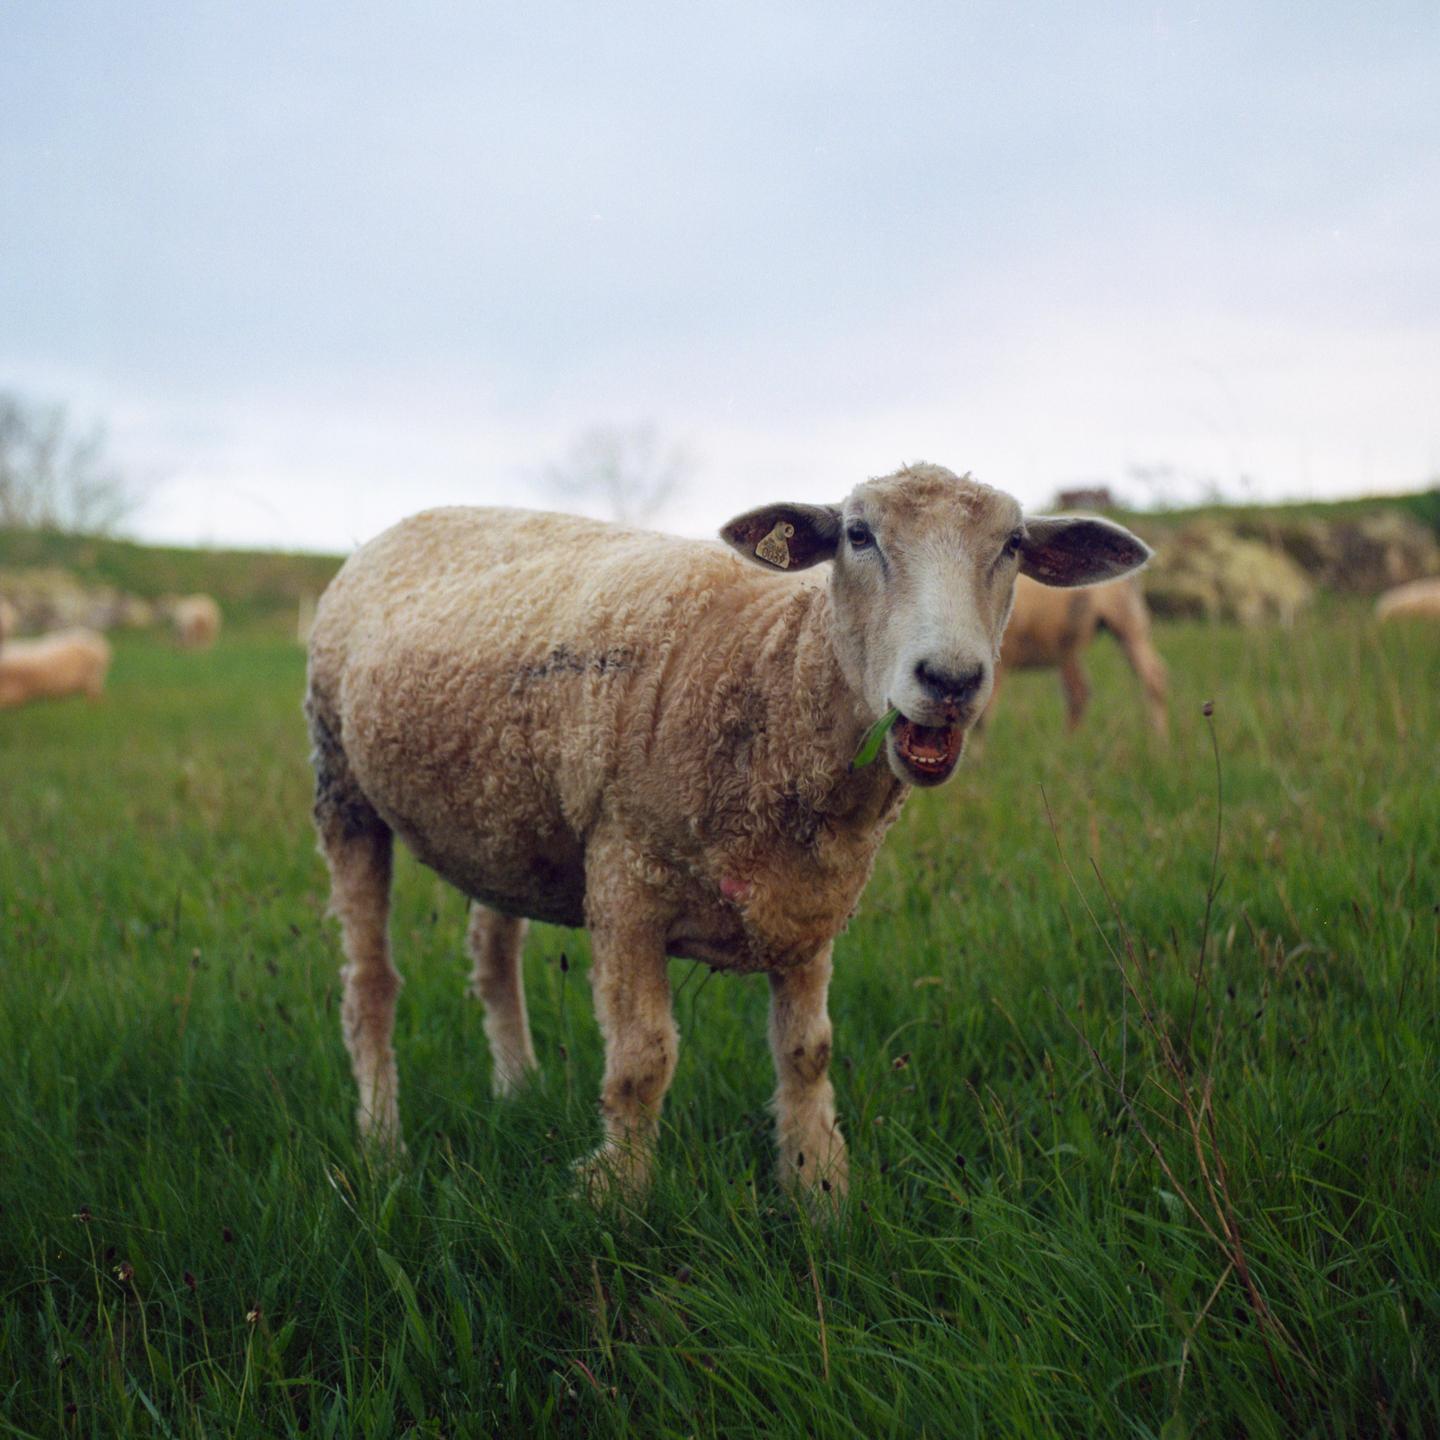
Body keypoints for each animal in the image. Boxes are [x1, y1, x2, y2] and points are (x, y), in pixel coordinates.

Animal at [988, 573, 1168, 735]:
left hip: (1127, 623)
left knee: (1154, 678)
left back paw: (1158, 742)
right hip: (1067, 644)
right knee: (1079, 694)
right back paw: (1067, 743)